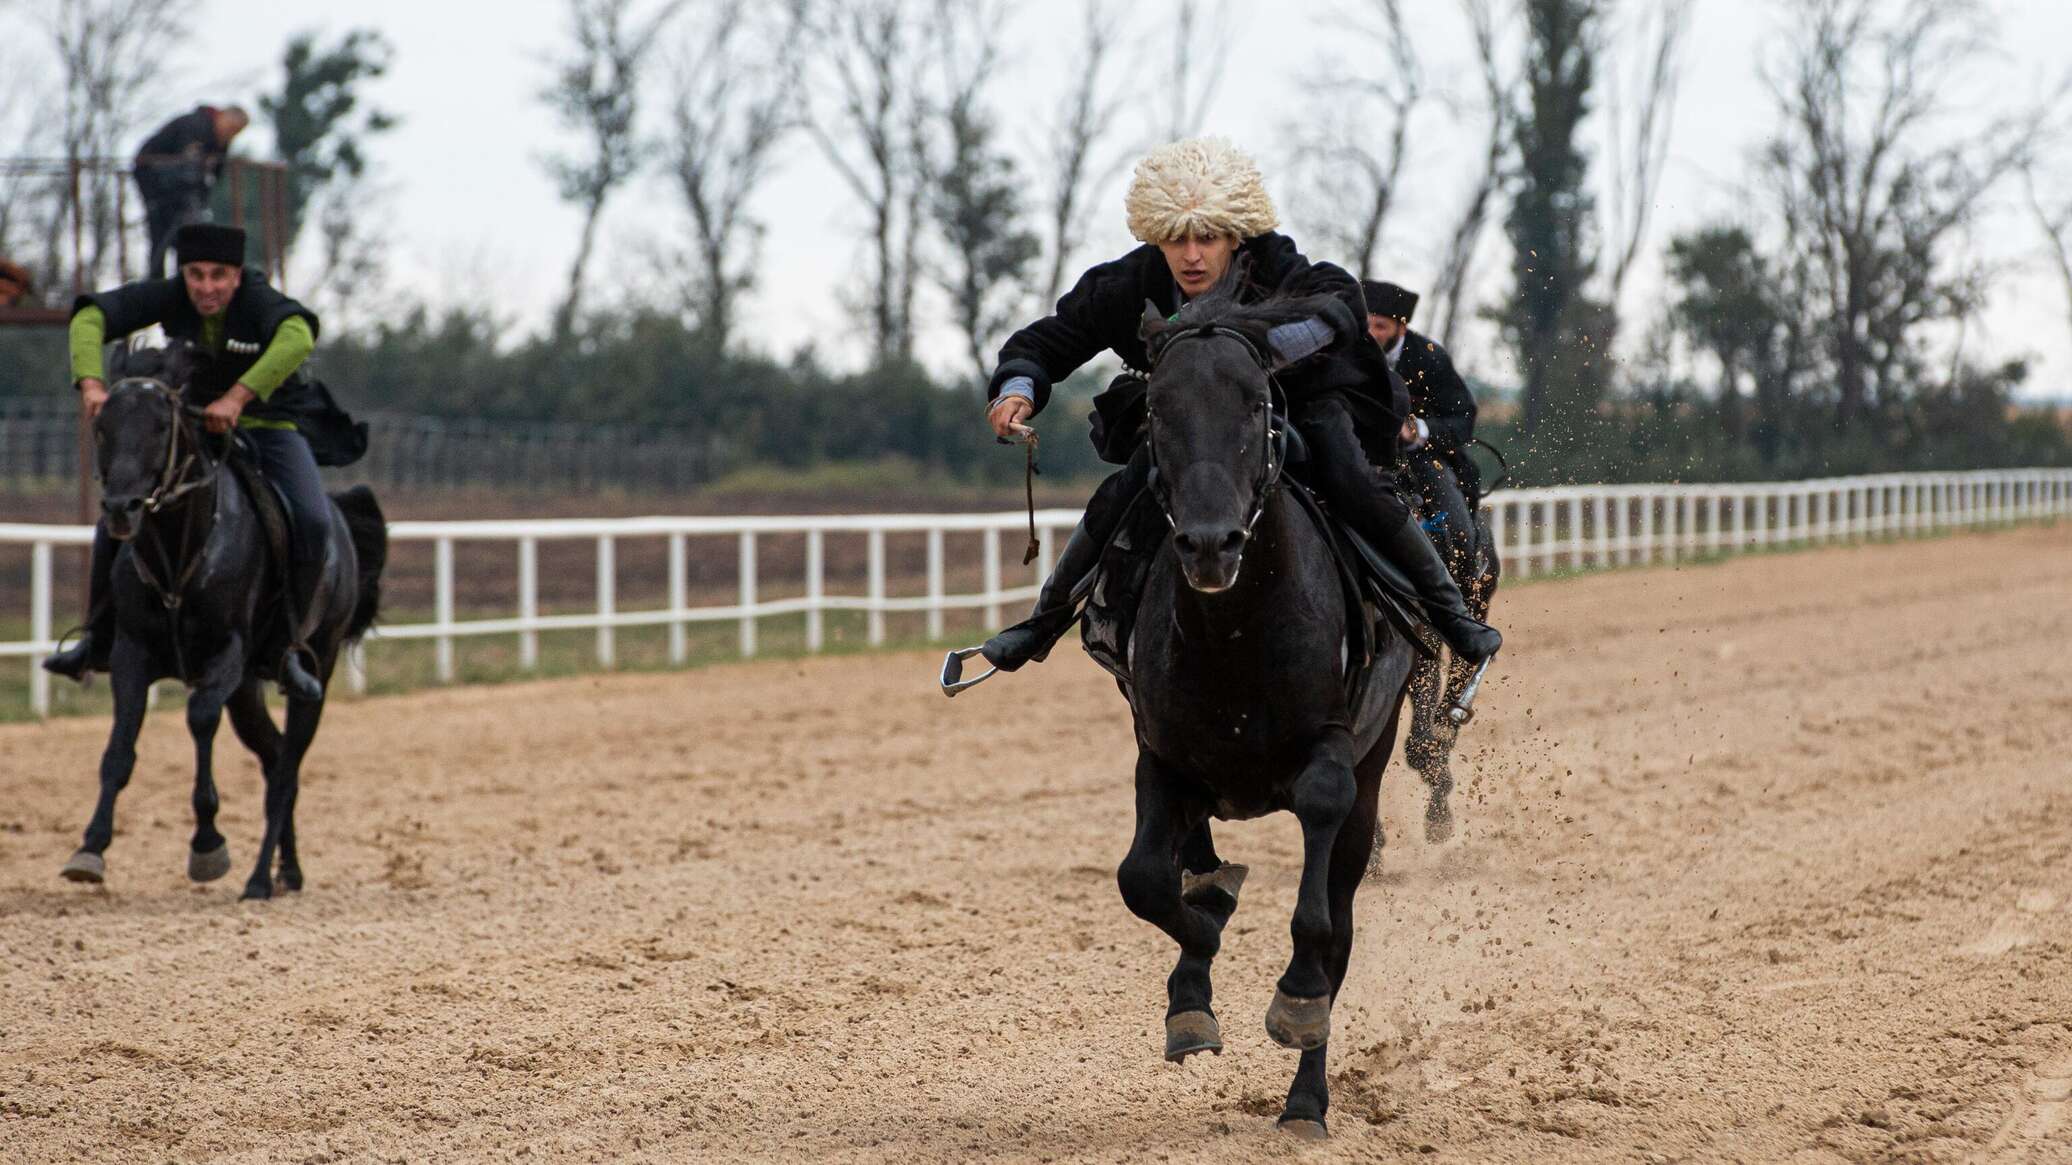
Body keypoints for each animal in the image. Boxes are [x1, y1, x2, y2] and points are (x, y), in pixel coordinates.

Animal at [59, 339, 385, 903]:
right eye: (102, 426)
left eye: (160, 427)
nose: (121, 507)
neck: (179, 554)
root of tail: (343, 529)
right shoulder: (131, 654)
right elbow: (120, 745)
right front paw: (90, 848)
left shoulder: (225, 655)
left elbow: (199, 720)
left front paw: (208, 843)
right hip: (249, 690)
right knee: (274, 758)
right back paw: (288, 871)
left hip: (312, 672)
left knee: (287, 770)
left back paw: (258, 880)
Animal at [1110, 290, 1417, 1135]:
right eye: (1156, 407)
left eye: (1255, 403)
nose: (1210, 543)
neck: (1237, 631)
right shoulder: (1164, 759)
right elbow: (1144, 879)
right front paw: (1198, 965)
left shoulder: (1334, 751)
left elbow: (1319, 918)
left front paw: (1298, 1000)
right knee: (1189, 864)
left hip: (1372, 775)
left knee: (1339, 926)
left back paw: (1306, 1098)